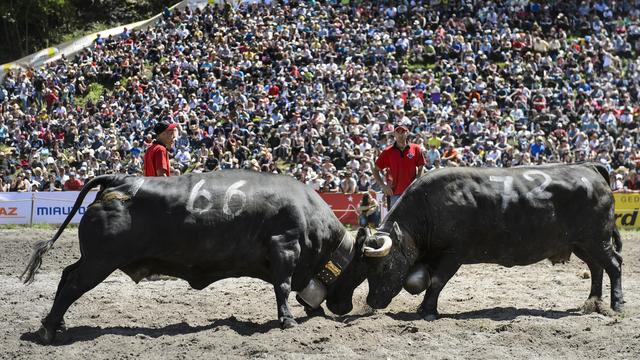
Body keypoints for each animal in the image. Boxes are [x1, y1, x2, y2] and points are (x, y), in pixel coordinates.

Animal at [21, 172, 364, 344]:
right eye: (359, 273)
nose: (344, 309)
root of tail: (118, 181)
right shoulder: (285, 245)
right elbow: (282, 286)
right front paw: (287, 319)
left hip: (94, 259)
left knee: (67, 276)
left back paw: (58, 324)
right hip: (100, 261)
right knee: (72, 282)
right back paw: (48, 329)